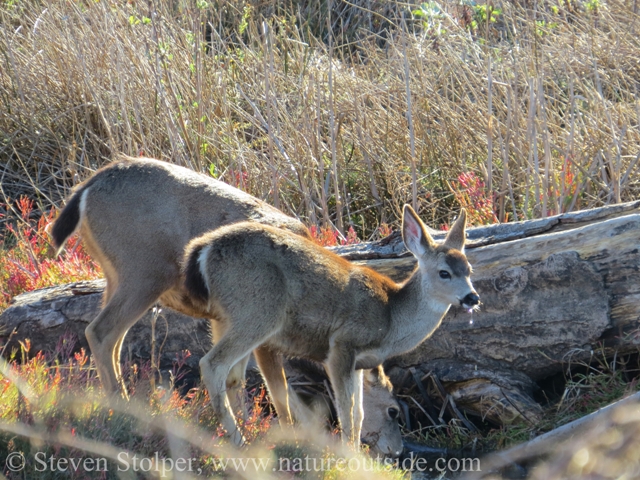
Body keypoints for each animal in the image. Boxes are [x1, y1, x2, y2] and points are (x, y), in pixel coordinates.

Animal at [50, 157, 402, 454]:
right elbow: (279, 390)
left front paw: (250, 428)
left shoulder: (224, 319)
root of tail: (86, 189)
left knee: (111, 336)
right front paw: (288, 441)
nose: (396, 450)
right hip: (145, 271)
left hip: (116, 276)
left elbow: (236, 379)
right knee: (101, 332)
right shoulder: (266, 327)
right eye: (393, 410)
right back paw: (120, 409)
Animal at [182, 205, 478, 450]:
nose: (472, 297)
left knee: (233, 377)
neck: (390, 318)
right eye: (444, 273)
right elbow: (346, 413)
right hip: (258, 312)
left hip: (224, 318)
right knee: (212, 364)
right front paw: (350, 459)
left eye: (469, 270)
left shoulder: (358, 363)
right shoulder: (341, 345)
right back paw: (239, 442)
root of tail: (203, 249)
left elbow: (359, 415)